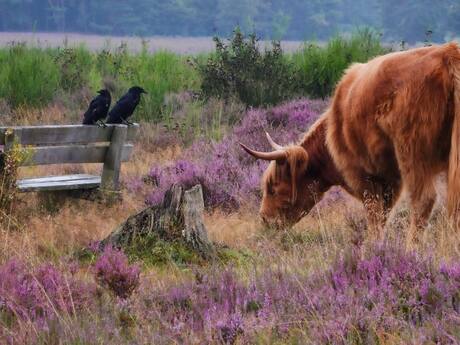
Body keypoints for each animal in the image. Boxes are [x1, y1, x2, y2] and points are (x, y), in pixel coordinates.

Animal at [241, 41, 460, 238]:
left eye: (273, 187)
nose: (264, 218)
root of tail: (448, 54)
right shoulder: (391, 179)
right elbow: (384, 214)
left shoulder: (365, 175)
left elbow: (375, 216)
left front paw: (375, 249)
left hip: (412, 151)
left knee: (424, 200)